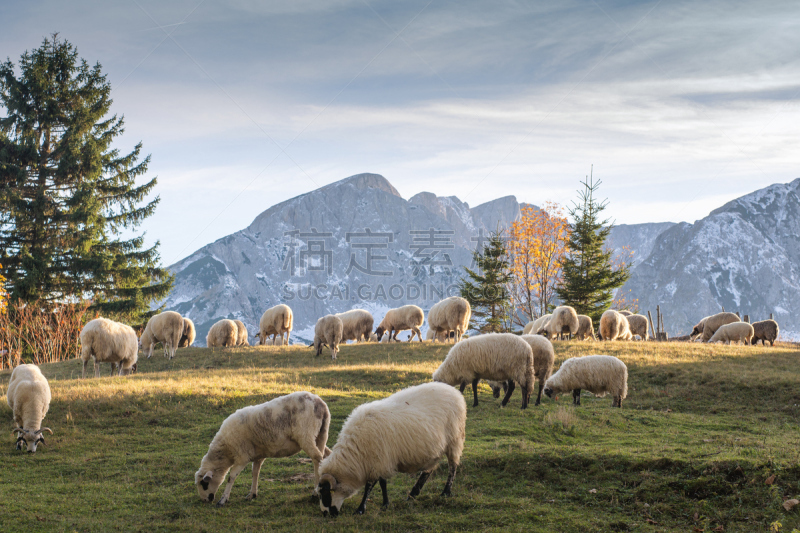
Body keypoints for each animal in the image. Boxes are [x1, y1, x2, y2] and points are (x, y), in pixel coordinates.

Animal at [195, 390, 332, 508]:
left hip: (306, 435)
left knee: (317, 458)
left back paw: (315, 492)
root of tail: (320, 403)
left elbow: (231, 477)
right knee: (325, 455)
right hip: (321, 435)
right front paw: (252, 494)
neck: (225, 451)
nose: (205, 500)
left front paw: (223, 499)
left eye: (204, 484)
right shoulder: (258, 455)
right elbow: (255, 472)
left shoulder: (242, 457)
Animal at [316, 382, 466, 516]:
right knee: (428, 471)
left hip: (454, 439)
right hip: (434, 451)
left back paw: (446, 492)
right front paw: (385, 504)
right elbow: (383, 483)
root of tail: (454, 391)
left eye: (325, 493)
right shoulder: (382, 461)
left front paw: (360, 509)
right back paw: (413, 494)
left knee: (452, 467)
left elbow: (369, 485)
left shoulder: (377, 461)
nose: (325, 514)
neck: (355, 453)